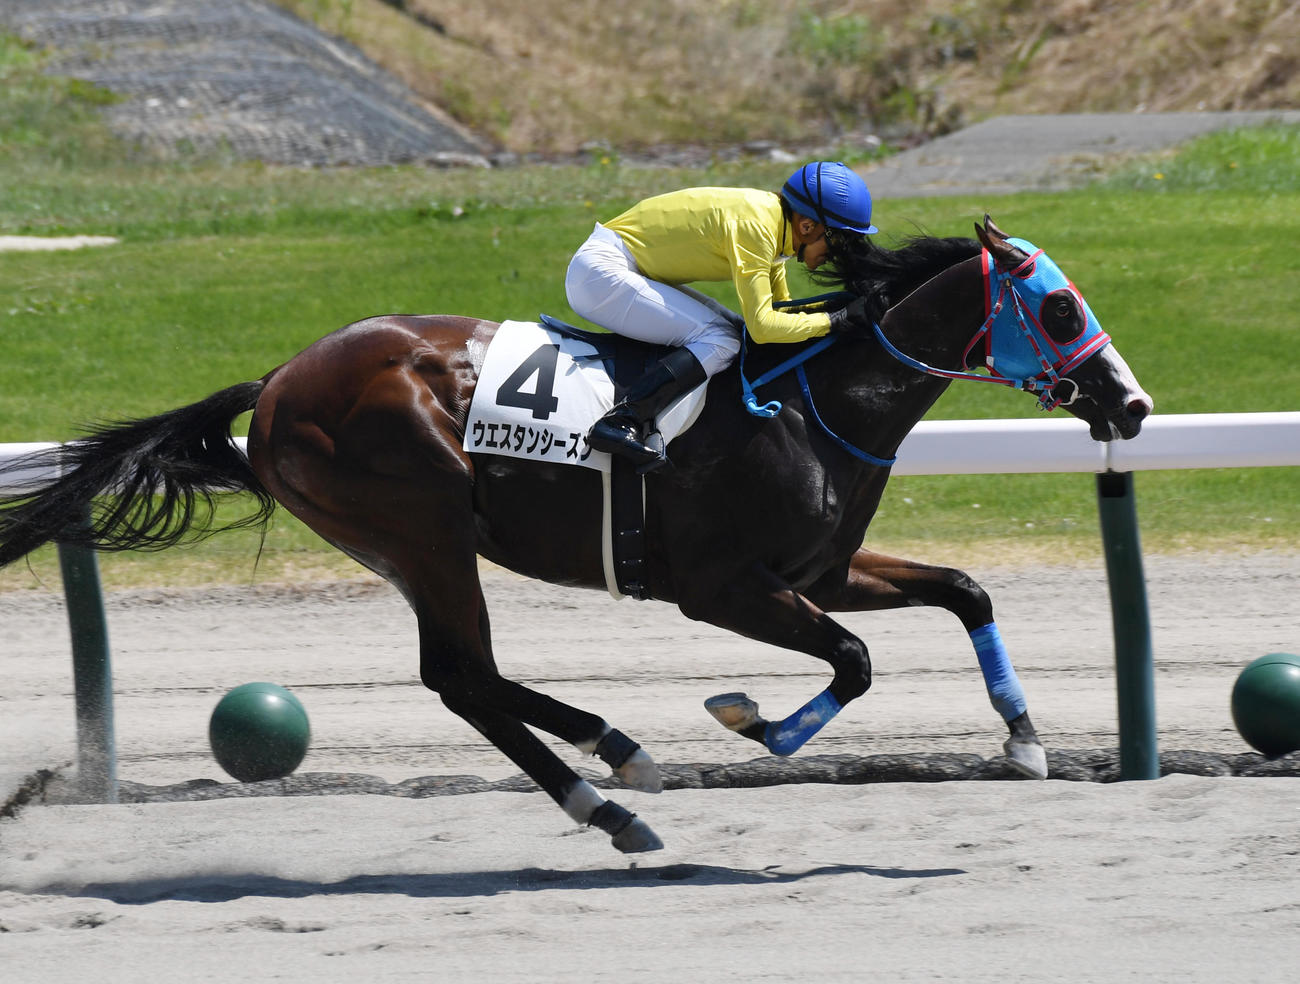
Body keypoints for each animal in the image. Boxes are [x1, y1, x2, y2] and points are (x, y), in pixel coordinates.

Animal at [0, 217, 1152, 853]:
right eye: (1059, 309)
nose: (1133, 407)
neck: (815, 400)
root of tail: (279, 380)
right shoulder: (722, 588)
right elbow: (857, 660)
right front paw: (748, 721)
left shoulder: (819, 569)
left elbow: (962, 589)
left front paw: (1025, 739)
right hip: (422, 522)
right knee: (460, 676)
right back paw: (612, 793)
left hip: (409, 541)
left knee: (467, 676)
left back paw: (615, 757)